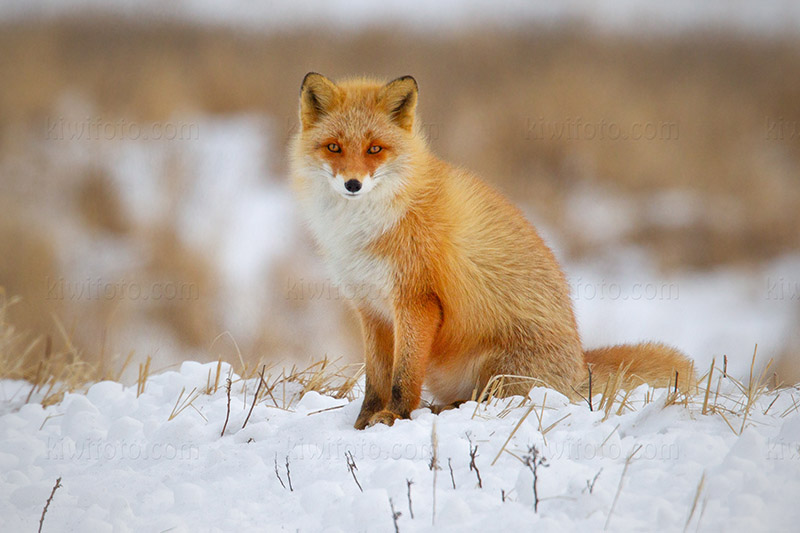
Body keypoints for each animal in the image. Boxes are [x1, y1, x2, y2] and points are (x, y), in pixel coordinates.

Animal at [290, 72, 692, 428]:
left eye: (375, 149)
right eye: (334, 147)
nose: (353, 184)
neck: (366, 226)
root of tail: (579, 370)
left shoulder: (417, 302)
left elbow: (403, 378)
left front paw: (394, 419)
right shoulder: (370, 308)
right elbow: (376, 380)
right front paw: (362, 423)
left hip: (494, 368)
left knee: (492, 400)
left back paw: (446, 410)